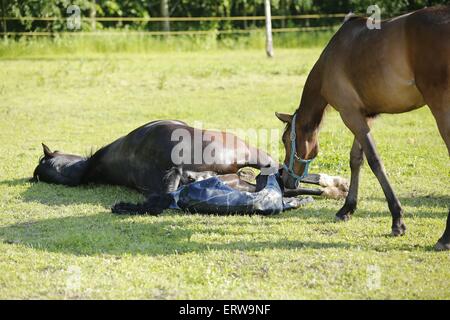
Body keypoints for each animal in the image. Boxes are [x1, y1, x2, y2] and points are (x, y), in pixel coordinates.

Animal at [276, 5, 448, 250]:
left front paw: (397, 219)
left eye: (284, 141)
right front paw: (347, 208)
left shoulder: (350, 115)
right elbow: (356, 159)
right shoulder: (364, 116)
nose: (285, 180)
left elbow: (374, 161)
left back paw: (445, 237)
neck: (329, 60)